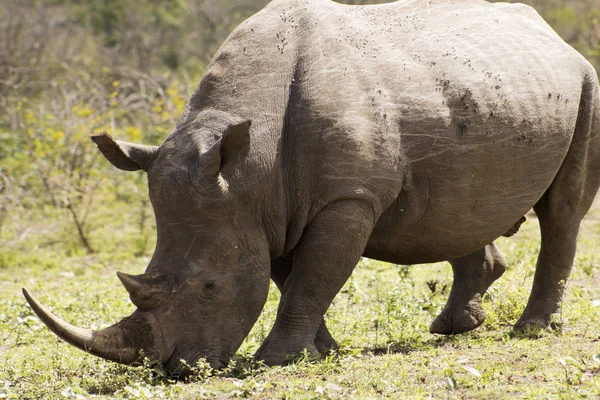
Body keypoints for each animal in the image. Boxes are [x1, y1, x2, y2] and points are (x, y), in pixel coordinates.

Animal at [23, 0, 600, 374]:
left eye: (209, 287)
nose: (177, 368)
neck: (247, 169)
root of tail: (553, 35)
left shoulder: (344, 200)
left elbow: (312, 277)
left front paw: (274, 361)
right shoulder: (268, 208)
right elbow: (289, 277)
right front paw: (321, 353)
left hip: (587, 84)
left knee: (562, 211)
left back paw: (531, 330)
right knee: (457, 210)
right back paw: (454, 328)